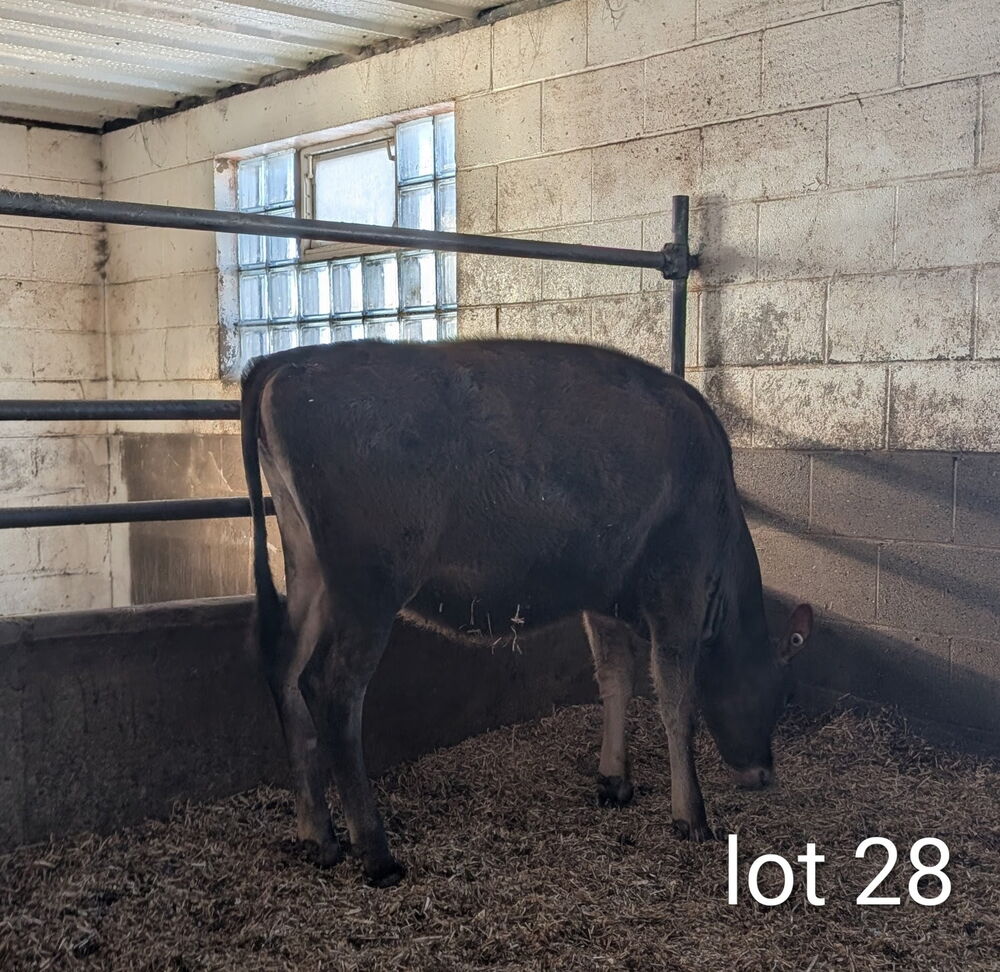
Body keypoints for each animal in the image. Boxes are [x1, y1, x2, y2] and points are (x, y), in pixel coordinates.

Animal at [240, 339, 813, 888]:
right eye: (781, 693)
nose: (763, 774)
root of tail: (286, 362)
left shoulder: (604, 593)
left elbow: (615, 678)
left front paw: (614, 779)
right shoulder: (679, 586)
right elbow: (676, 701)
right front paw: (691, 815)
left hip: (309, 571)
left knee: (284, 671)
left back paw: (318, 835)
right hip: (369, 589)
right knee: (333, 691)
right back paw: (376, 853)